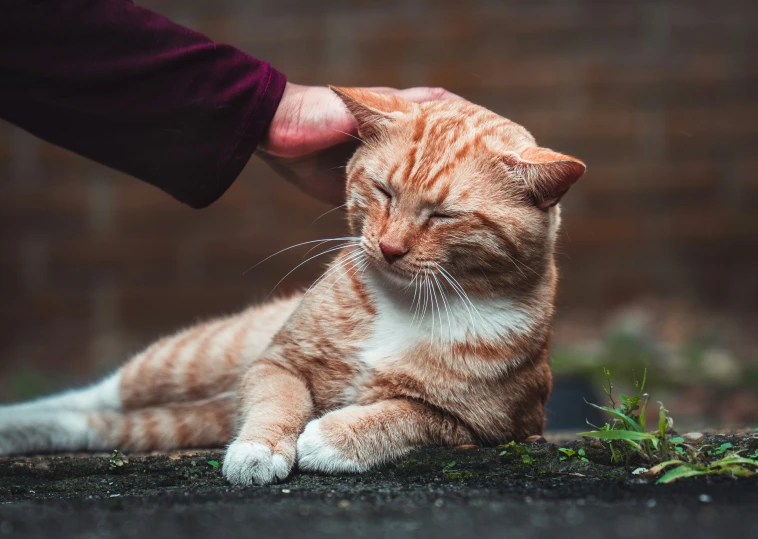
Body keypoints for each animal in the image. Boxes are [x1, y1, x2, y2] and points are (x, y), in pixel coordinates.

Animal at [0, 87, 588, 486]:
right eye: (383, 191)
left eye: (443, 215)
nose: (389, 248)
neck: (409, 303)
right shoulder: (275, 362)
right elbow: (277, 400)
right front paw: (259, 450)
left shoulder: (490, 426)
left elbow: (403, 414)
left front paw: (332, 437)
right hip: (193, 359)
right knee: (97, 393)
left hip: (177, 415)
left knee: (93, 423)